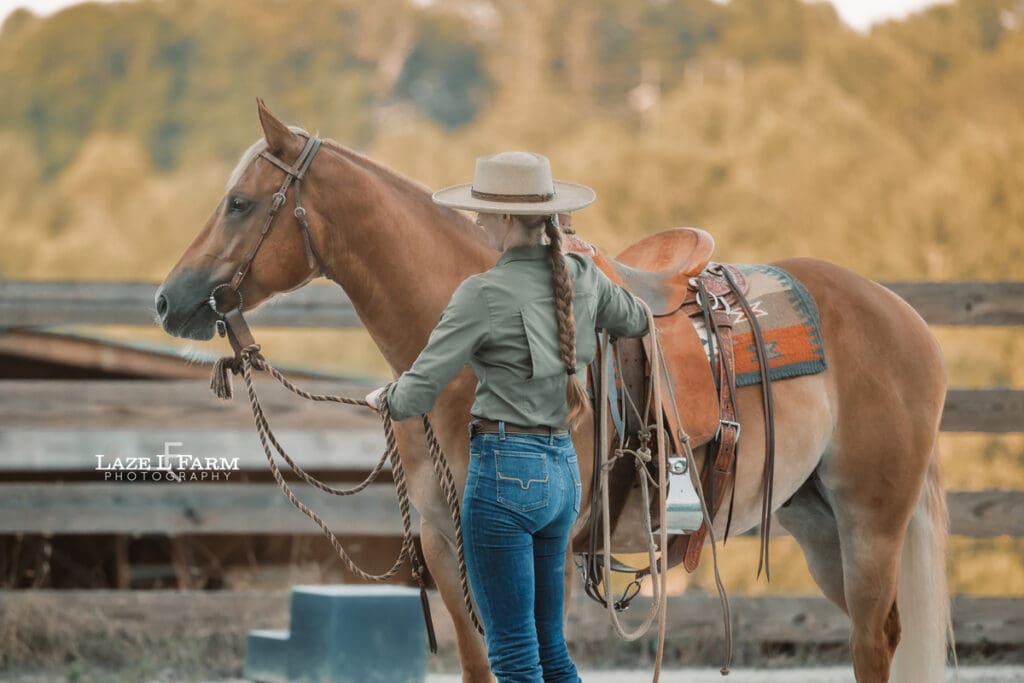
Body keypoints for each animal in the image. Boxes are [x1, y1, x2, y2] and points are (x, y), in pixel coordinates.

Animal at [156, 101, 951, 682]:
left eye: (238, 202)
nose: (168, 300)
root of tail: (905, 317)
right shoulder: (446, 545)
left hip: (870, 523)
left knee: (874, 644)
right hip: (819, 524)